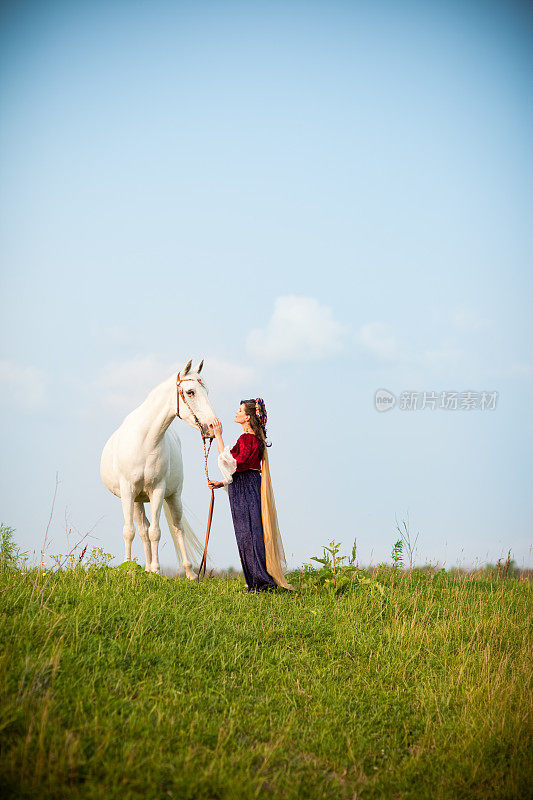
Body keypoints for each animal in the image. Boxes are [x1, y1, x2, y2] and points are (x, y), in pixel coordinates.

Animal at [100, 360, 216, 580]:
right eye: (190, 392)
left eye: (207, 391)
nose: (213, 426)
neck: (146, 439)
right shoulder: (128, 492)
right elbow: (130, 531)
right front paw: (128, 569)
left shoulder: (158, 491)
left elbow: (156, 531)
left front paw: (156, 569)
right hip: (137, 500)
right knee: (142, 530)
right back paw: (144, 569)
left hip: (173, 496)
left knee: (177, 528)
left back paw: (190, 572)